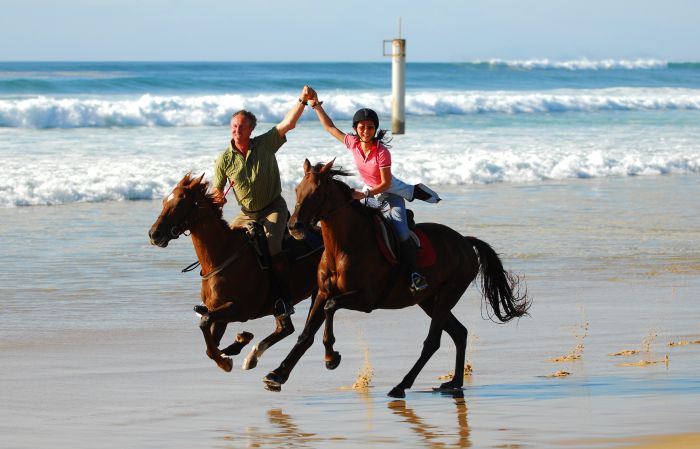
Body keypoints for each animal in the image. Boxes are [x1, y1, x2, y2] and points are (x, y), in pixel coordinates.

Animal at [150, 173, 322, 372]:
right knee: (285, 328)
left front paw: (226, 360)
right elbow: (209, 344)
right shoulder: (220, 313)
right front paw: (235, 346)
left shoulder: (241, 309)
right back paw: (251, 357)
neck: (222, 256)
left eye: (180, 203)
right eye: (164, 201)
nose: (154, 234)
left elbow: (205, 321)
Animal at [262, 159, 532, 398]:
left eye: (317, 192)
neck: (342, 246)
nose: (294, 226)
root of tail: (465, 241)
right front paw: (277, 375)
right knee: (459, 333)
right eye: (297, 189)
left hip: (449, 292)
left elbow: (330, 308)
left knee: (433, 341)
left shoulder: (366, 299)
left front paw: (331, 356)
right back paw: (454, 382)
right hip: (429, 300)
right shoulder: (322, 292)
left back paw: (402, 385)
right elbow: (306, 333)